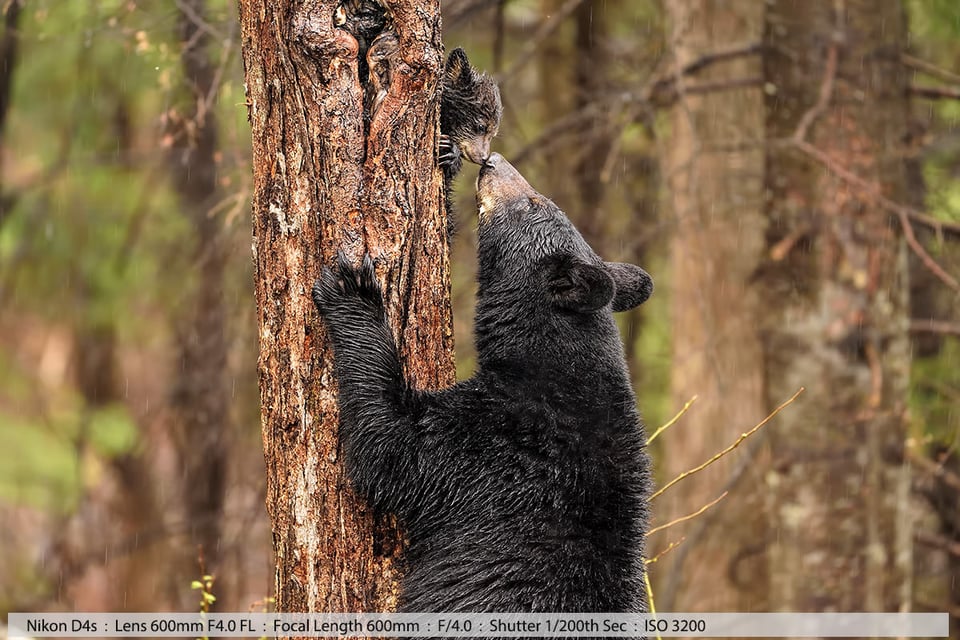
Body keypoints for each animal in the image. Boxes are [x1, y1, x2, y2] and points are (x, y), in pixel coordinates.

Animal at [316, 152, 652, 612]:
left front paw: (355, 291)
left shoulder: (496, 444)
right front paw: (446, 157)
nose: (493, 161)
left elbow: (391, 444)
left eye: (532, 202)